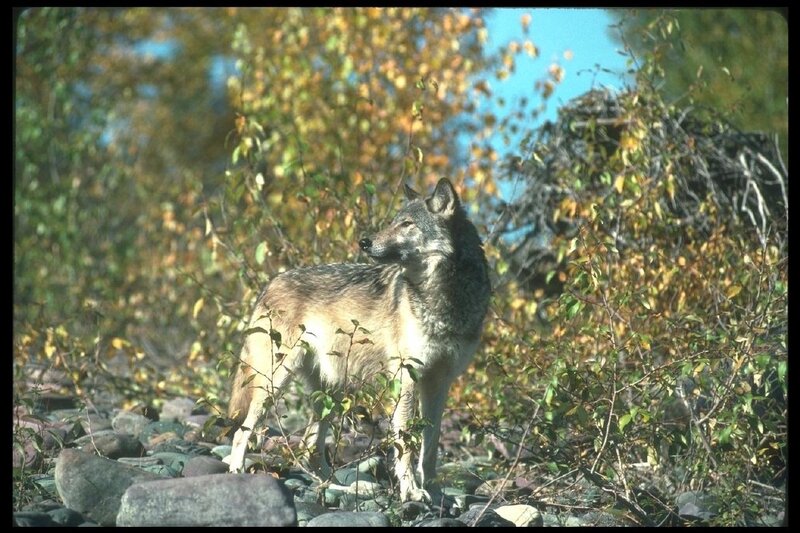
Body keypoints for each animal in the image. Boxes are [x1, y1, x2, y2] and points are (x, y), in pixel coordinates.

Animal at [226, 178, 491, 502]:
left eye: (407, 224)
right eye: (393, 222)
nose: (364, 242)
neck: (444, 296)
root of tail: (269, 284)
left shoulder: (440, 382)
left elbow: (430, 445)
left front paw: (434, 490)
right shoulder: (406, 376)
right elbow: (405, 442)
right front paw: (411, 491)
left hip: (331, 390)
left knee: (310, 449)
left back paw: (342, 488)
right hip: (275, 382)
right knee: (243, 431)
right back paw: (237, 472)